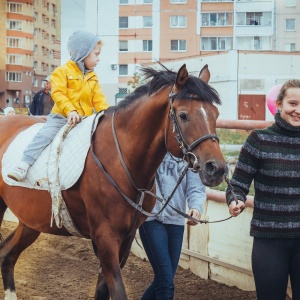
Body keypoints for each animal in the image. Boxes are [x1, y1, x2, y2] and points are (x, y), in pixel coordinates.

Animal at [0, 63, 226, 298]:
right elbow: (117, 291)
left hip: (31, 220)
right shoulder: (105, 237)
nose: (216, 168)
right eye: (183, 115)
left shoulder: (126, 238)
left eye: (215, 114)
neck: (120, 160)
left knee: (6, 253)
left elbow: (103, 290)